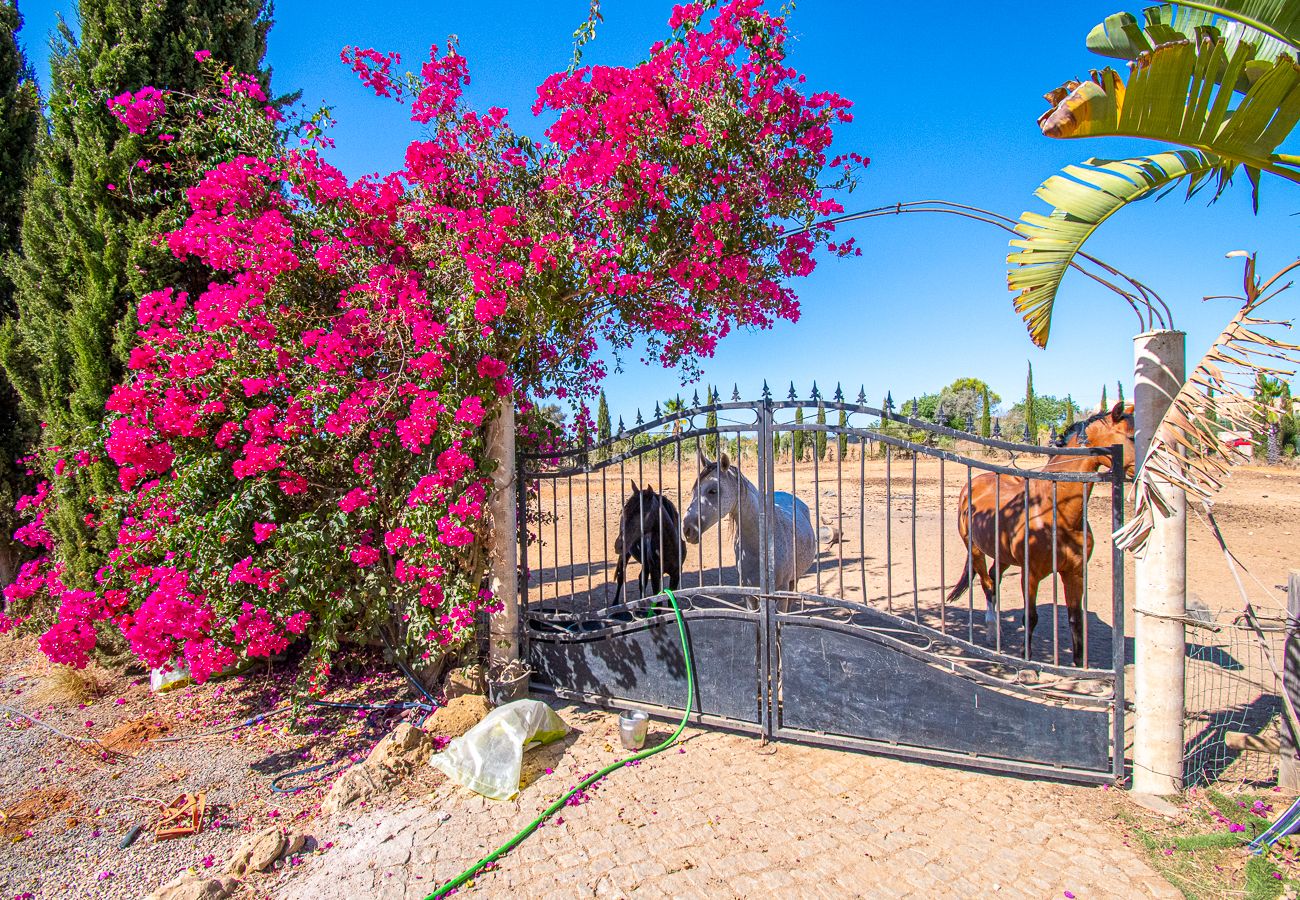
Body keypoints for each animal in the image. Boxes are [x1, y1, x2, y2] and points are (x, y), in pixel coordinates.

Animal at [951, 403, 1133, 663]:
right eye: (1131, 437)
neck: (1056, 512)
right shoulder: (1030, 574)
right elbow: (1030, 617)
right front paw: (1026, 661)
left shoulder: (1074, 573)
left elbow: (1076, 620)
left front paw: (1079, 665)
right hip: (974, 548)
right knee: (987, 584)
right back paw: (993, 631)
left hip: (1002, 554)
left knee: (994, 578)